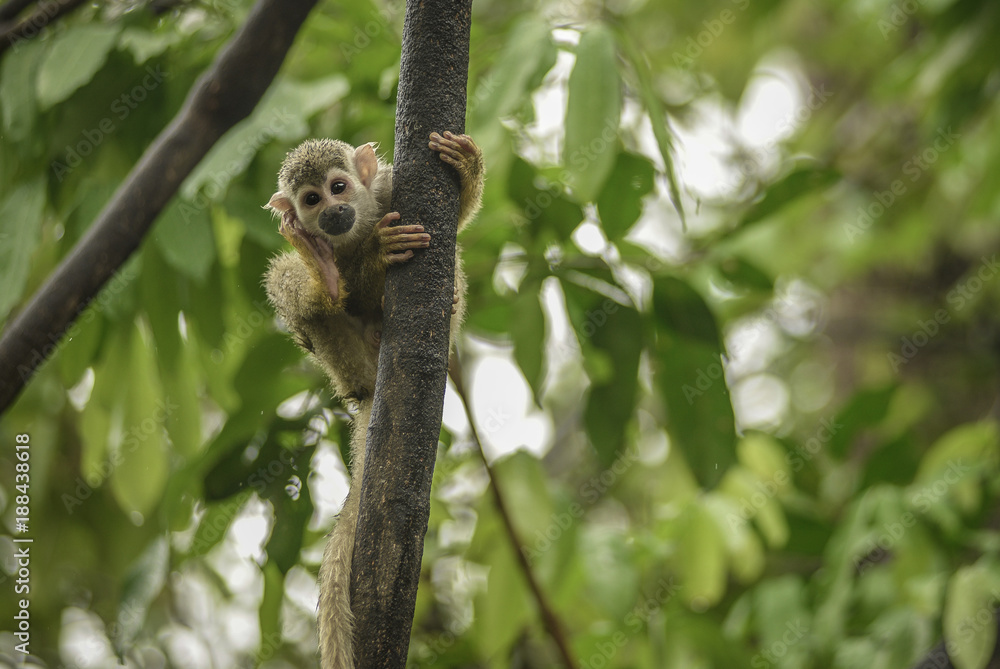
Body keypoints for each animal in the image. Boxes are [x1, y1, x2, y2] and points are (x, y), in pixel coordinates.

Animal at [263, 131, 483, 669]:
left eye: (339, 187)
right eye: (311, 200)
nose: (331, 213)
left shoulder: (388, 189)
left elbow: (454, 226)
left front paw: (467, 168)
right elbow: (351, 286)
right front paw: (370, 257)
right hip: (345, 365)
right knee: (298, 290)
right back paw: (324, 278)